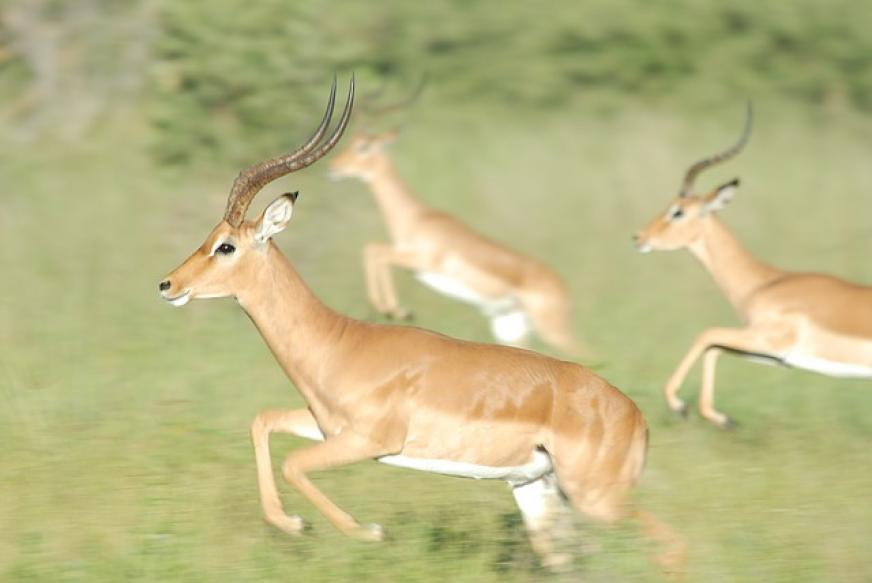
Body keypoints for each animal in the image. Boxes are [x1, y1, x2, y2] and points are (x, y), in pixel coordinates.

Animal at [328, 125, 584, 356]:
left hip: (552, 331)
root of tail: (565, 289)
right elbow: (373, 250)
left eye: (363, 147)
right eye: (351, 142)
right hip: (510, 329)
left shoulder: (423, 262)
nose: (333, 167)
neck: (417, 217)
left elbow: (375, 250)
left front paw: (396, 310)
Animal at [632, 105, 872, 426]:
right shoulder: (773, 354)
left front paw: (679, 405)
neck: (765, 283)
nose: (639, 237)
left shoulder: (769, 340)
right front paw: (720, 418)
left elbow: (706, 335)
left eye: (677, 211)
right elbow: (714, 348)